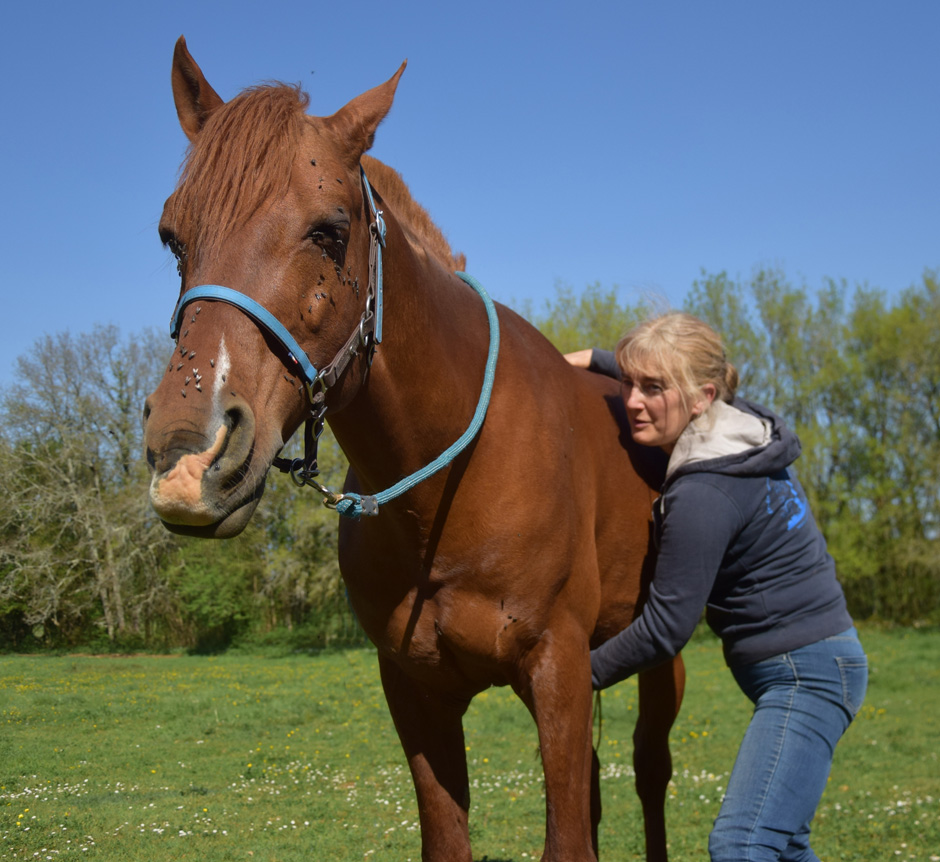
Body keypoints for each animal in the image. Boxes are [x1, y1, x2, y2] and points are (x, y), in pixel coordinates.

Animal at [141, 37, 684, 860]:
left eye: (330, 231)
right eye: (173, 236)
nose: (187, 457)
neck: (452, 485)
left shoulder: (557, 671)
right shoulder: (415, 690)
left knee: (652, 770)